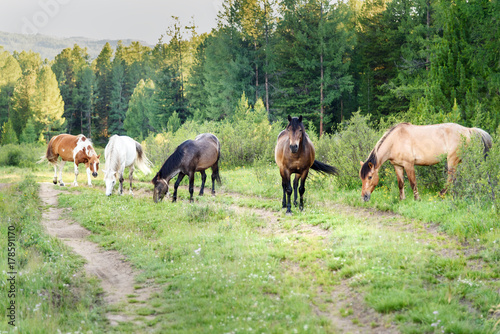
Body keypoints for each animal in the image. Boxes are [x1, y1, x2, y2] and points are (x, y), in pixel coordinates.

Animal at [360, 122, 492, 201]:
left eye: (370, 177)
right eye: (362, 178)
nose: (364, 197)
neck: (395, 140)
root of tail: (468, 130)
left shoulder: (409, 164)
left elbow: (413, 183)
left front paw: (417, 199)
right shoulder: (397, 166)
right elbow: (401, 183)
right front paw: (402, 199)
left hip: (452, 160)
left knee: (450, 179)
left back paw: (441, 194)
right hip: (462, 161)